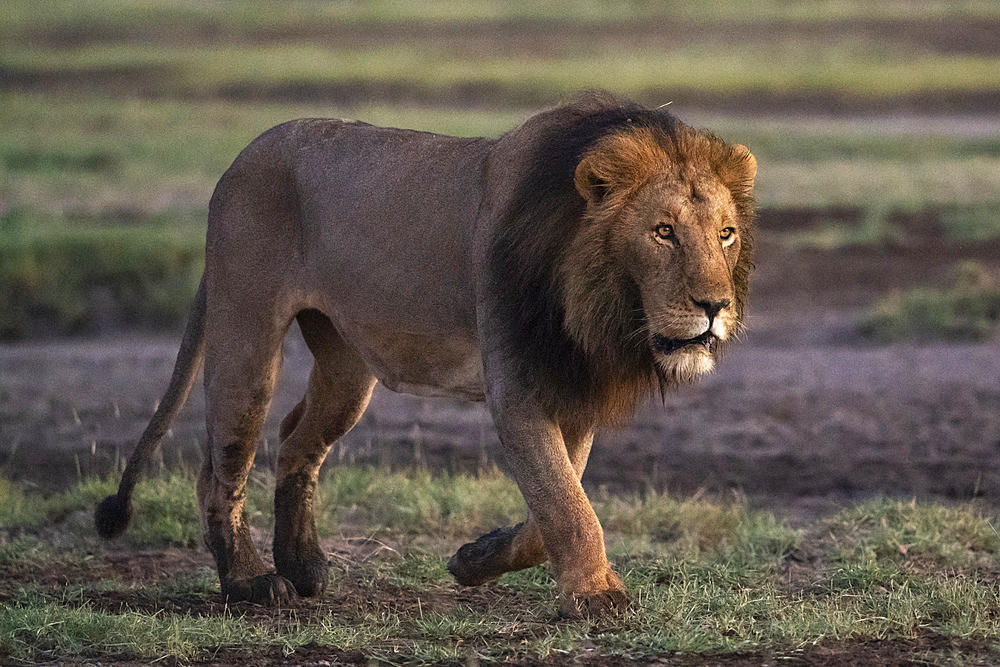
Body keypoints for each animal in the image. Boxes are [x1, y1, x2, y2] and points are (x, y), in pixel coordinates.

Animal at [97, 91, 756, 620]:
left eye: (725, 234)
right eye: (663, 231)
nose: (715, 305)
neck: (595, 303)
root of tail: (238, 161)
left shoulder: (572, 385)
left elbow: (553, 510)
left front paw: (473, 559)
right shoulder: (517, 388)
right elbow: (567, 505)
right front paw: (597, 598)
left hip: (346, 366)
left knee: (296, 439)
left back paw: (304, 565)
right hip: (247, 329)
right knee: (222, 463)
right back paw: (251, 581)